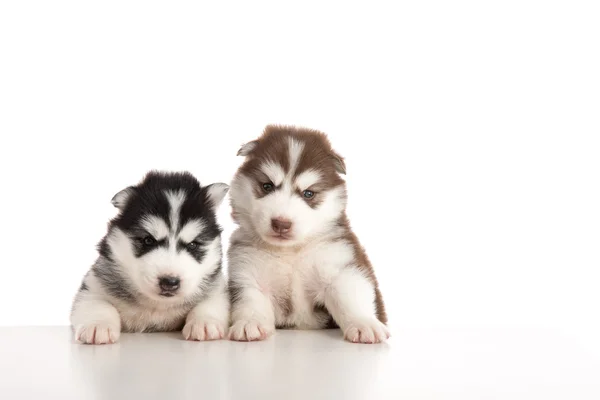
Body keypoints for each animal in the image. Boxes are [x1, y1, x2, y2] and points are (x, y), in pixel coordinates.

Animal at [71, 171, 230, 344]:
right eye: (148, 240)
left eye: (193, 245)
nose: (170, 282)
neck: (156, 305)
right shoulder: (93, 286)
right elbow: (98, 303)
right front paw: (98, 324)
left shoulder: (217, 289)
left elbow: (211, 303)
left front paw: (205, 323)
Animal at [226, 126, 390, 344]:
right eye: (267, 186)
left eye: (308, 194)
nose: (281, 223)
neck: (290, 251)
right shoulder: (247, 271)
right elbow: (250, 300)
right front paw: (250, 323)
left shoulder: (340, 266)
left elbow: (350, 296)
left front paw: (364, 324)